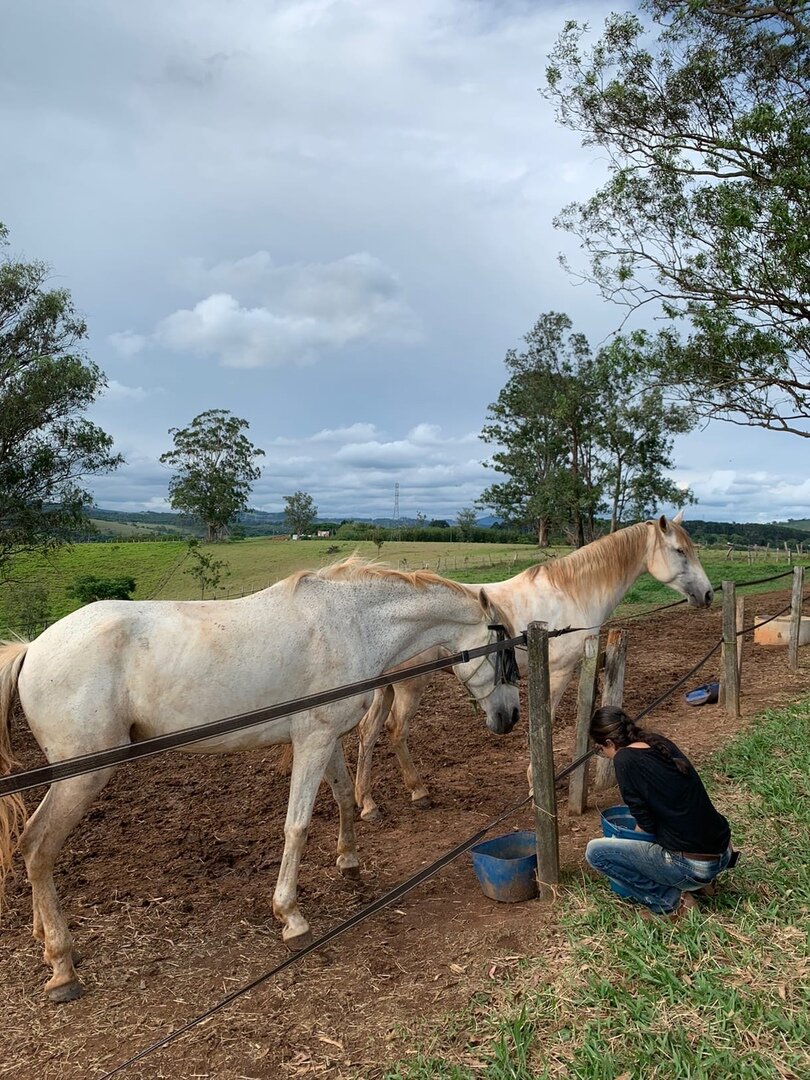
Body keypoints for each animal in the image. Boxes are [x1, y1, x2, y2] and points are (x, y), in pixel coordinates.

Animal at [0, 557, 520, 1002]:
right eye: (506, 654)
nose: (510, 717)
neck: (349, 623)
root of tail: (34, 648)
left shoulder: (324, 736)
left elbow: (343, 799)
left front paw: (349, 861)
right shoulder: (312, 739)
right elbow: (297, 826)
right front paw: (291, 916)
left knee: (32, 851)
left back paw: (45, 938)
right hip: (83, 775)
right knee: (37, 846)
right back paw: (62, 967)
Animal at [354, 514, 708, 816]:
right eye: (679, 551)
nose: (706, 594)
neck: (571, 594)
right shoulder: (560, 672)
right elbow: (544, 723)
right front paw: (535, 785)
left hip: (386, 687)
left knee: (368, 732)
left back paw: (368, 803)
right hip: (408, 685)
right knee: (396, 730)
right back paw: (418, 792)